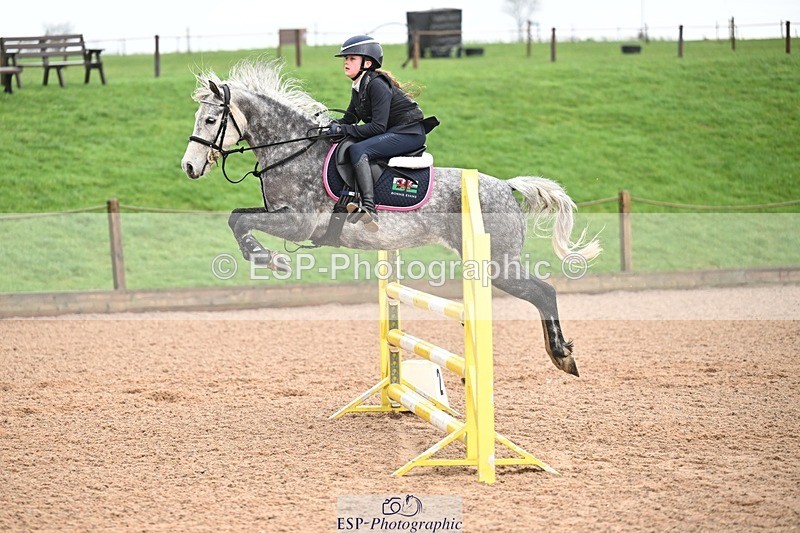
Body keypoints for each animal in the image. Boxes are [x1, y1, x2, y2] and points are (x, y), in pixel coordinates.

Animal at [181, 58, 600, 377]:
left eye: (209, 121)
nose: (188, 166)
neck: (294, 150)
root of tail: (507, 187)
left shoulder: (298, 222)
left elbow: (239, 221)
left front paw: (271, 259)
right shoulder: (280, 215)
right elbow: (237, 219)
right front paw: (267, 258)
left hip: (498, 263)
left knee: (544, 291)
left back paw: (562, 356)